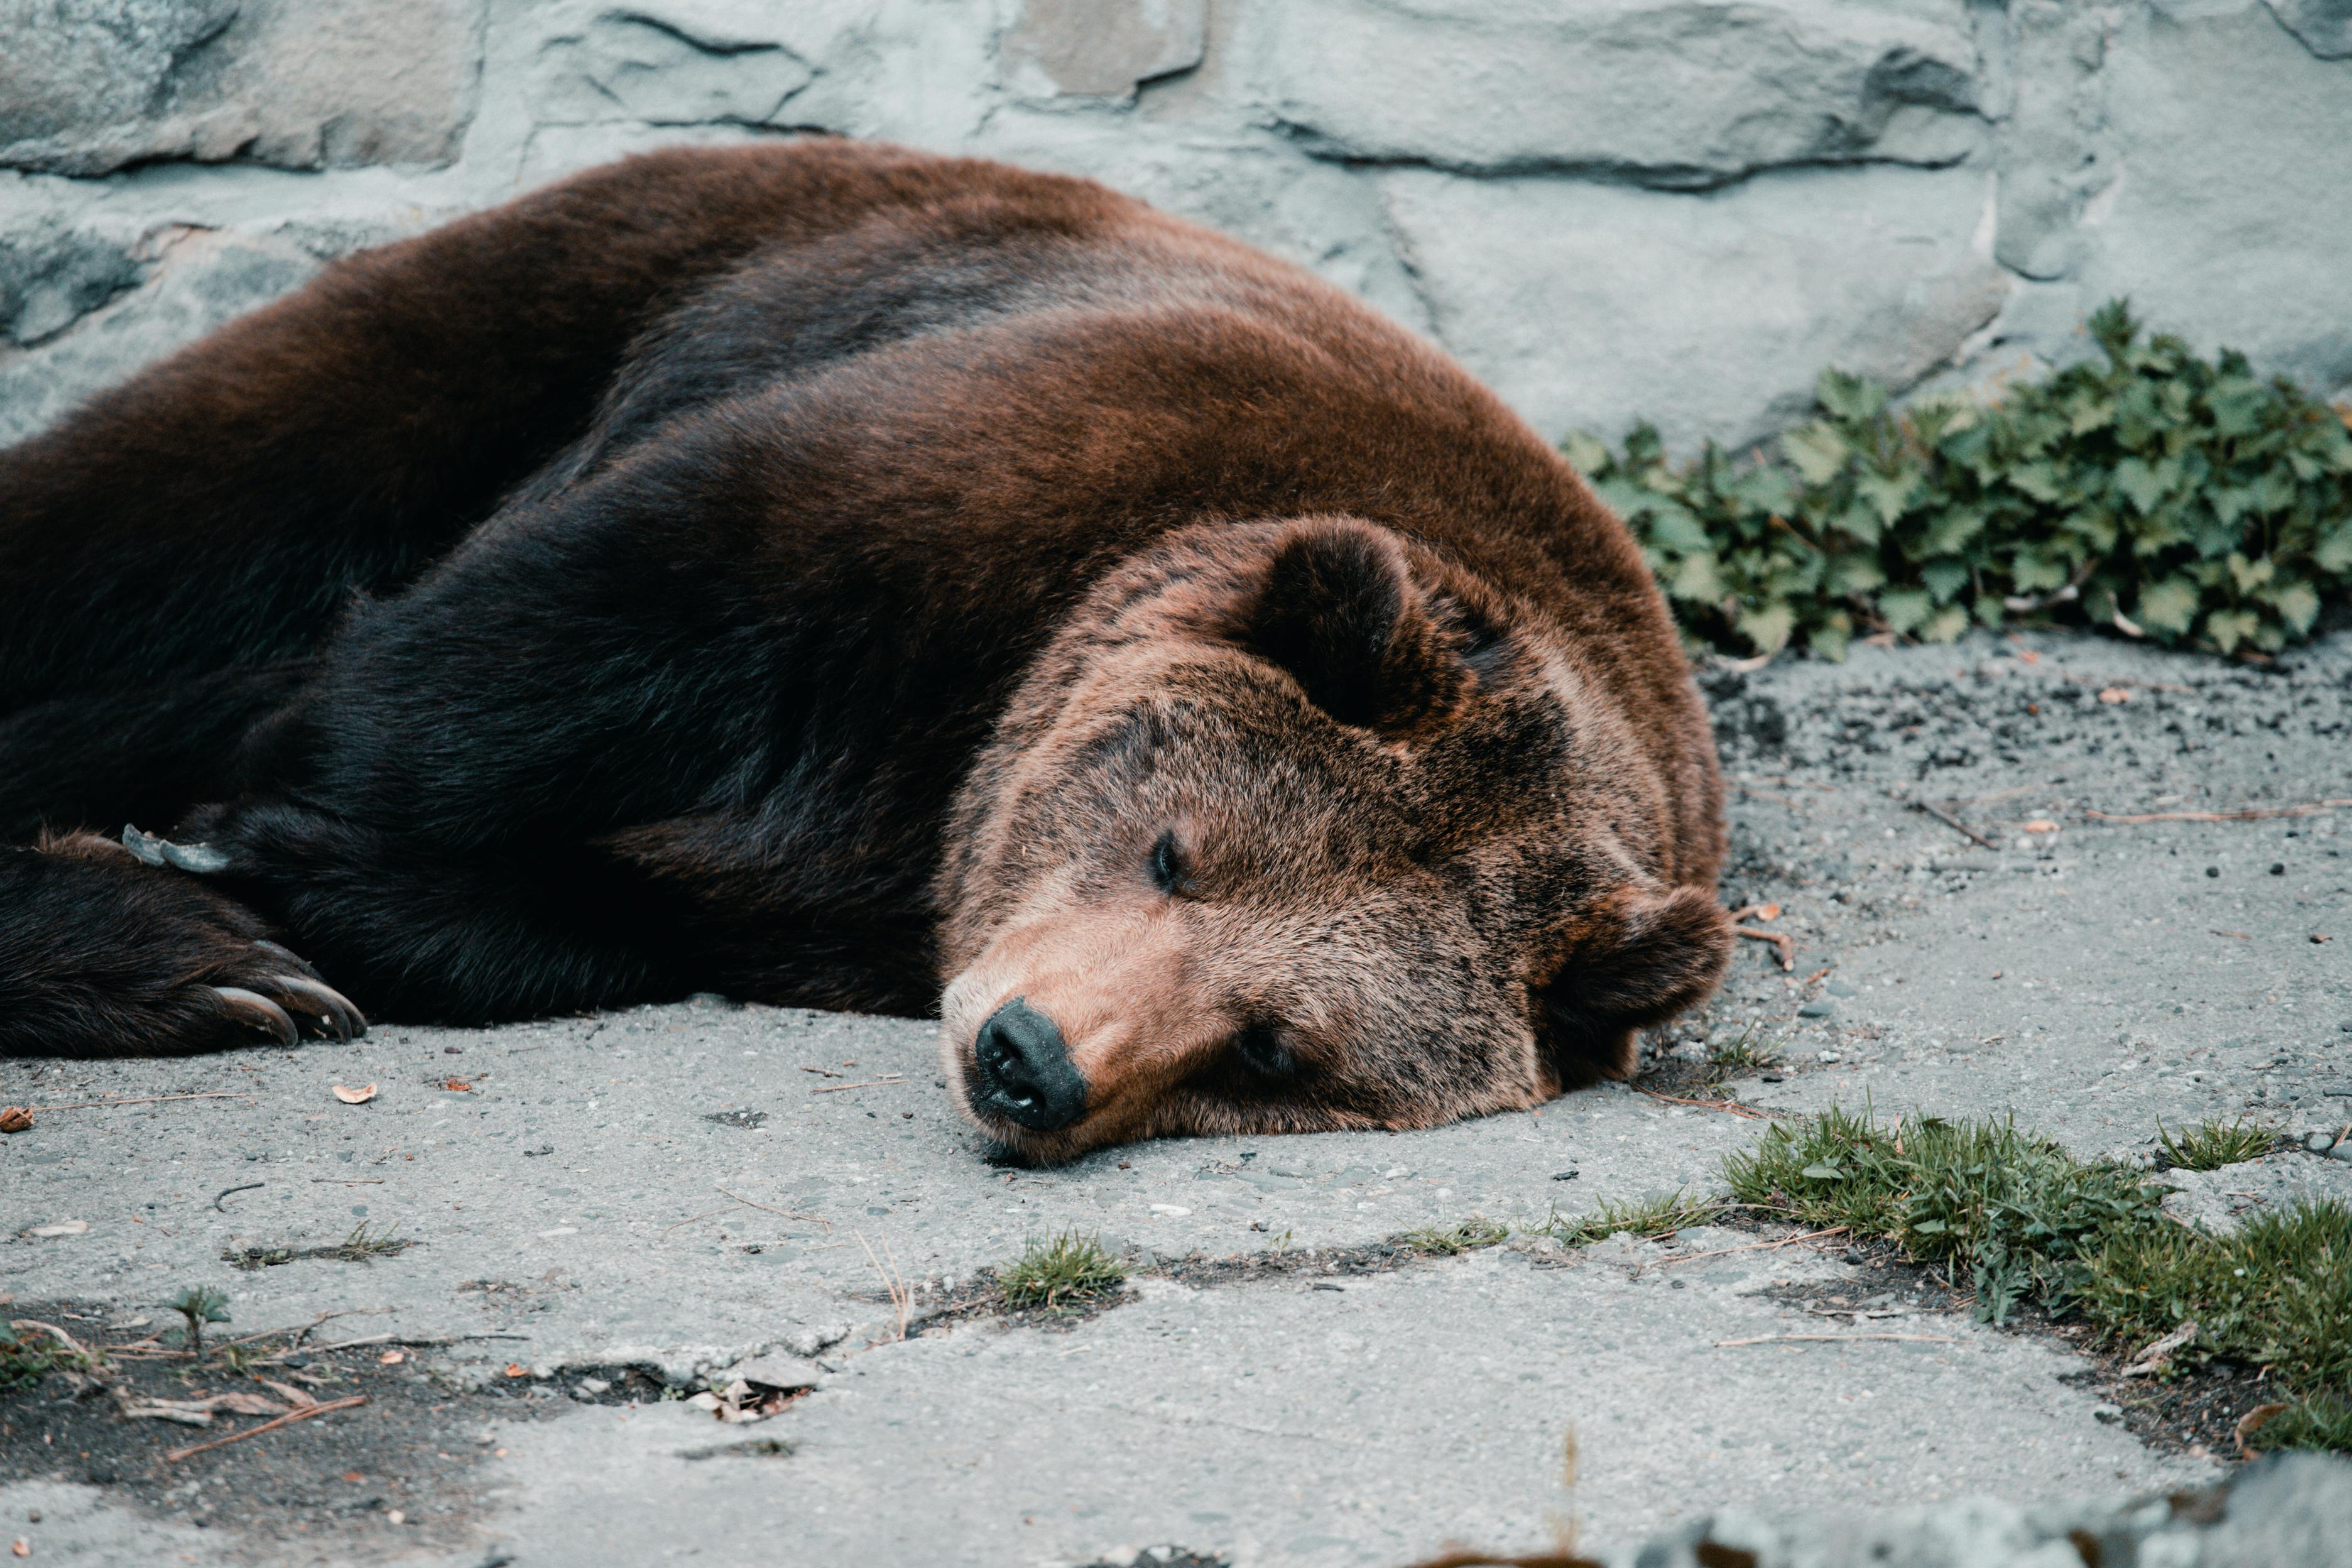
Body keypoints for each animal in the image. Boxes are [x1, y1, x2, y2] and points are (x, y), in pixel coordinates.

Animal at [0, 138, 1731, 1166]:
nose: (1029, 1057)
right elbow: (505, 660)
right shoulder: (974, 476)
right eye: (1177, 850)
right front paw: (231, 862)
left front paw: (280, 907)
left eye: (1275, 1045)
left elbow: (572, 912)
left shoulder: (854, 893)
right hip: (580, 292)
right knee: (165, 517)